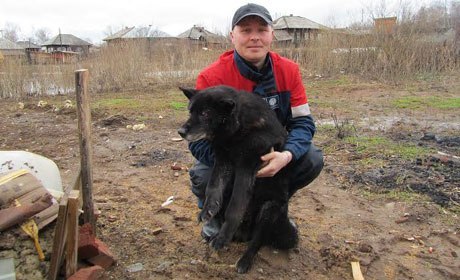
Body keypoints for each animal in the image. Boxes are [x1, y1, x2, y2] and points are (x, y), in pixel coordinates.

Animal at [176, 86, 298, 274]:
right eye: (190, 111)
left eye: (205, 113)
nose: (181, 132)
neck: (237, 129)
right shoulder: (223, 160)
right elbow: (213, 187)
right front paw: (207, 210)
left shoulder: (246, 166)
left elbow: (235, 206)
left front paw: (222, 238)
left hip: (269, 209)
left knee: (256, 242)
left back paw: (243, 260)